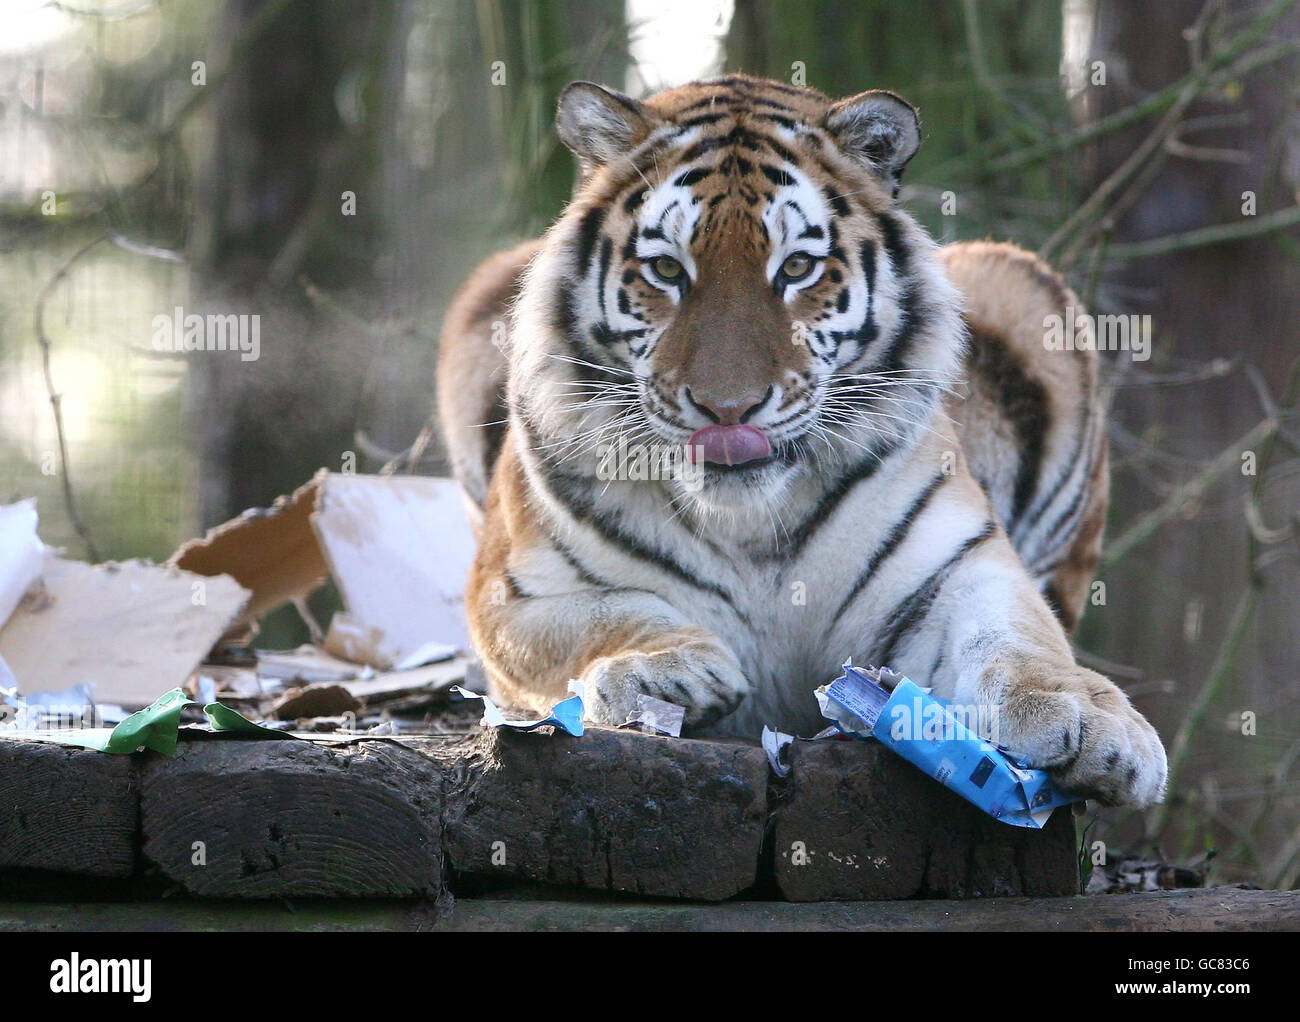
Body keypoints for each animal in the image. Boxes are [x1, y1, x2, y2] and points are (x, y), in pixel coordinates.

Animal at [436, 75, 1170, 806]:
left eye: (796, 268)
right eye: (667, 271)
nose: (728, 407)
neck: (749, 524)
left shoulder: (955, 567)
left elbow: (1016, 637)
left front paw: (1094, 722)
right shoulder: (511, 594)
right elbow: (604, 614)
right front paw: (661, 670)